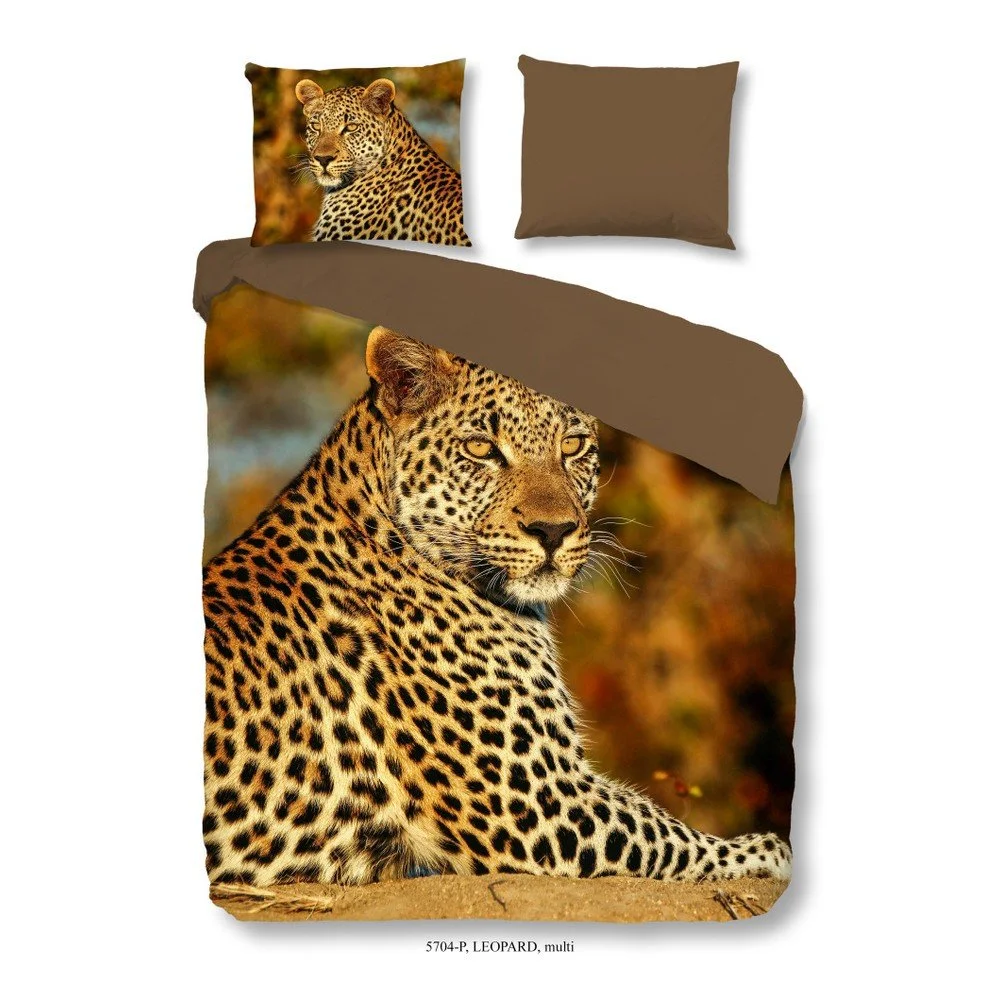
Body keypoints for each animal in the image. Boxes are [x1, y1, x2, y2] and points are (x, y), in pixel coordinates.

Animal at [202, 327, 793, 887]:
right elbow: (663, 831)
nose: (553, 531)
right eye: (482, 449)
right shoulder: (546, 807)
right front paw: (765, 849)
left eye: (573, 445)